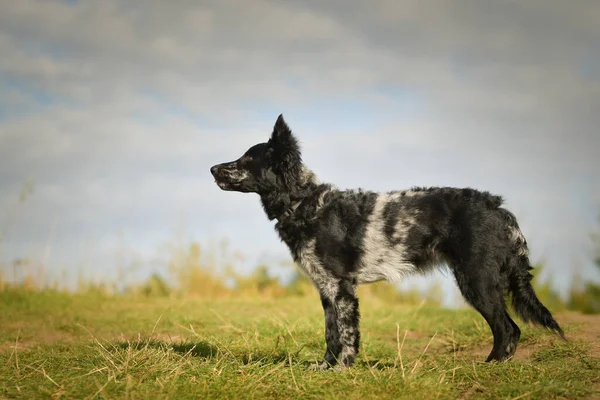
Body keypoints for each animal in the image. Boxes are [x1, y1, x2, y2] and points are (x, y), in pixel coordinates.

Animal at [212, 114, 568, 370]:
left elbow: (347, 333)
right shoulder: (327, 289)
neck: (307, 204)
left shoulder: (341, 288)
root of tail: (499, 208)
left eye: (247, 160)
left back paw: (491, 365)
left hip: (477, 281)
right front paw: (325, 368)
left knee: (508, 329)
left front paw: (343, 368)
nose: (213, 168)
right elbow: (330, 334)